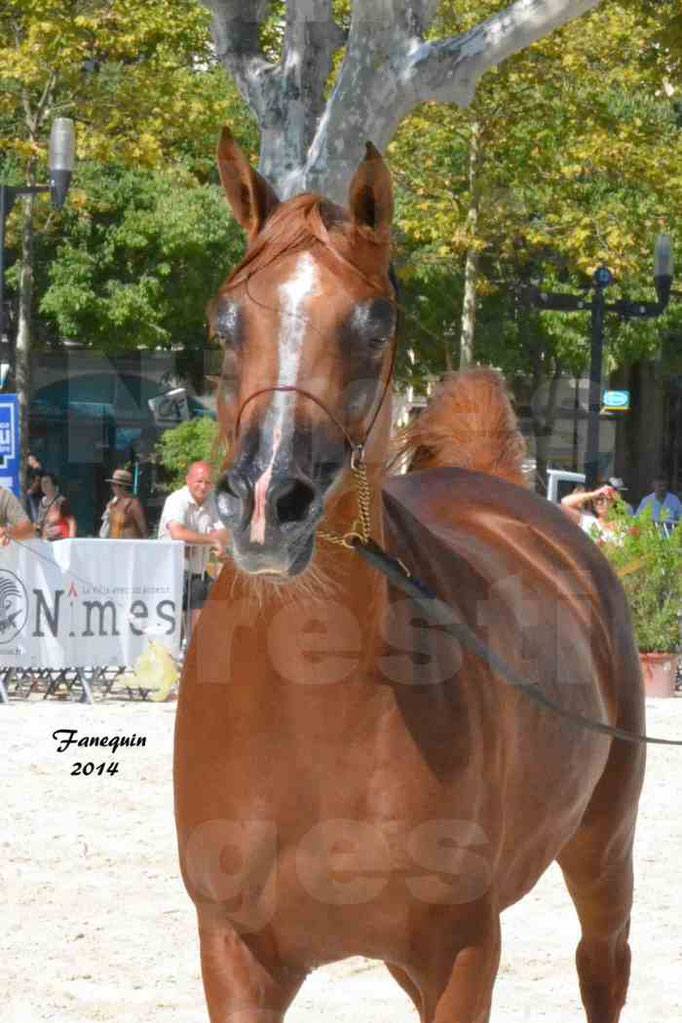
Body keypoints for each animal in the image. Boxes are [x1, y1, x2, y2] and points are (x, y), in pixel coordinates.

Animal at [174, 131, 646, 1018]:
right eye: (224, 320)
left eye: (375, 323)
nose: (267, 503)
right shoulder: (236, 953)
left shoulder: (461, 950)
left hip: (604, 849)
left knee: (603, 964)